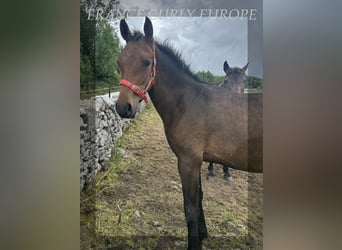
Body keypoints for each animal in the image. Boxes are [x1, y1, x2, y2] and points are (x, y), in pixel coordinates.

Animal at [116, 17, 264, 250]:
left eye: (147, 62)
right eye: (119, 62)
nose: (124, 108)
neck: (189, 102)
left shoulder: (188, 161)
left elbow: (190, 208)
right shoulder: (197, 160)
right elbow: (199, 198)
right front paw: (203, 235)